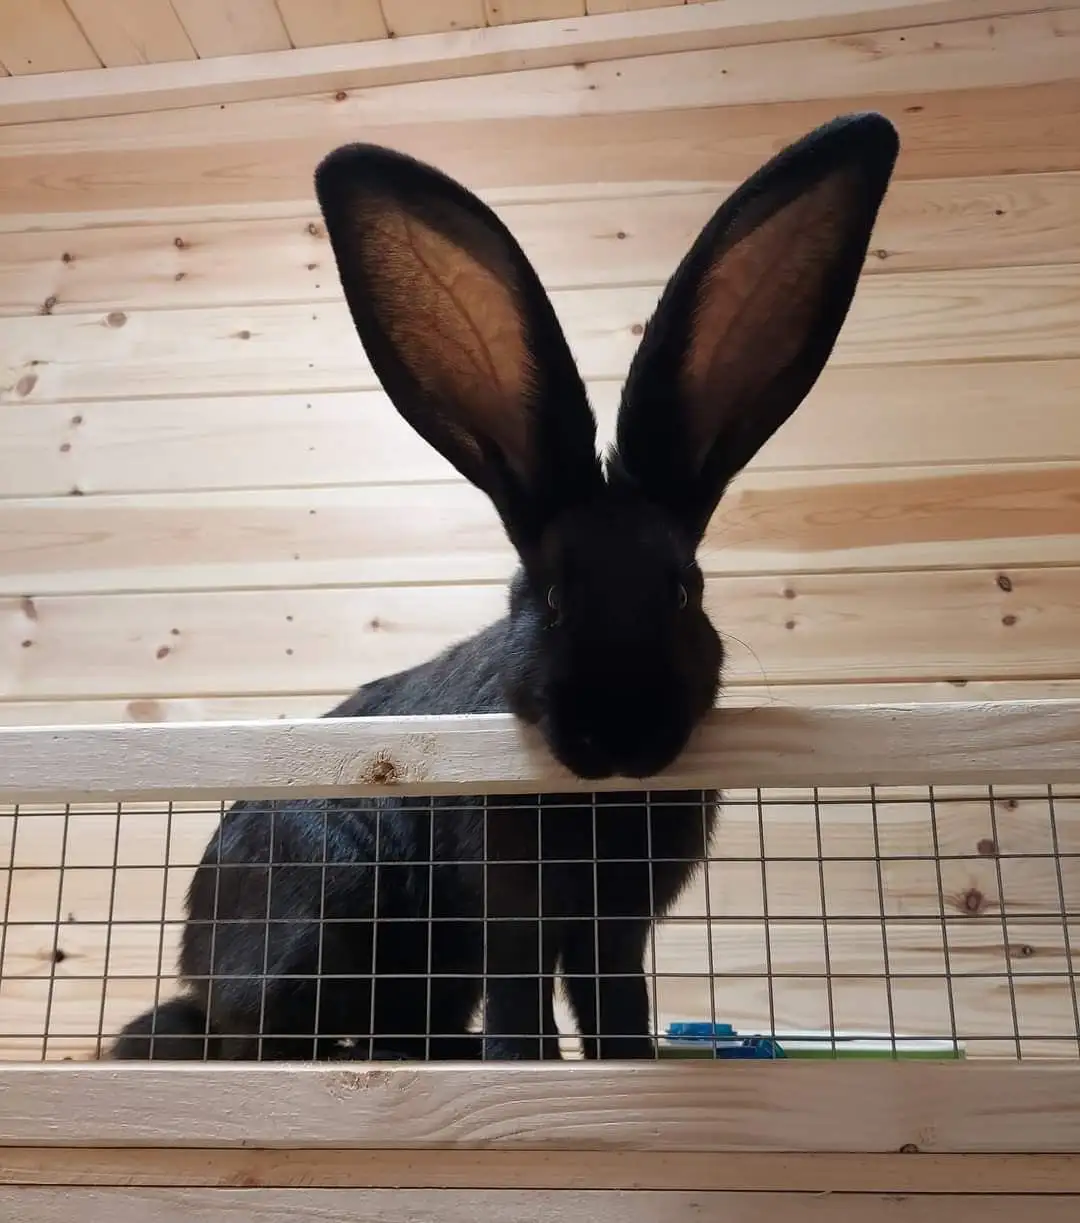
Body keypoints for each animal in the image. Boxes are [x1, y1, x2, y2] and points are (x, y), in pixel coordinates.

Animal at [109, 110, 899, 1064]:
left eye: (682, 593)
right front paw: (527, 1065)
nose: (620, 736)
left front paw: (627, 1063)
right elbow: (524, 997)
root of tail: (197, 975)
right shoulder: (513, 910)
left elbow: (614, 1000)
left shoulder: (613, 930)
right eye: (552, 599)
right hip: (327, 913)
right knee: (258, 1037)